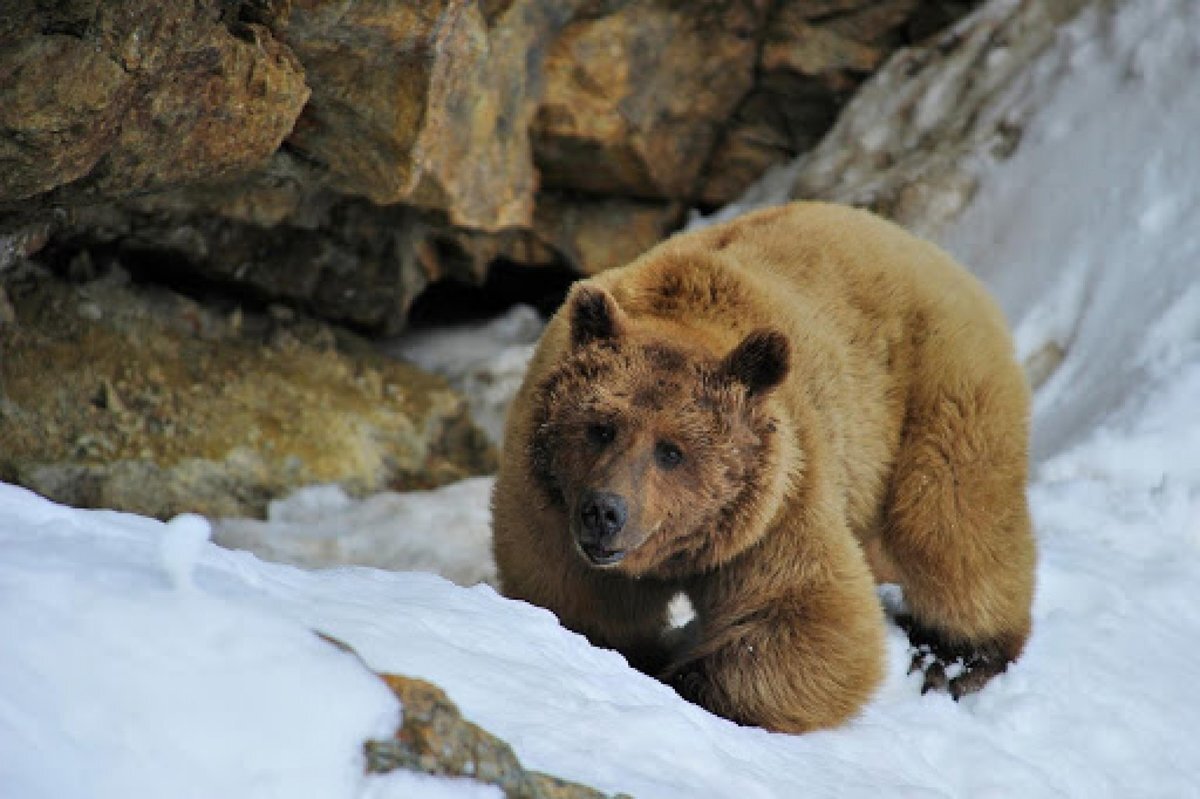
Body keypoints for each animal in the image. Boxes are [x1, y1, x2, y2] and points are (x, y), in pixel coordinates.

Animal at [487, 202, 1032, 729]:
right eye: (601, 426)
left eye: (671, 450)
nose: (604, 512)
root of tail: (926, 247)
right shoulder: (549, 506)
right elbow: (579, 605)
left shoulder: (775, 503)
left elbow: (816, 617)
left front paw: (681, 675)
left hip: (936, 385)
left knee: (951, 519)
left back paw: (954, 657)